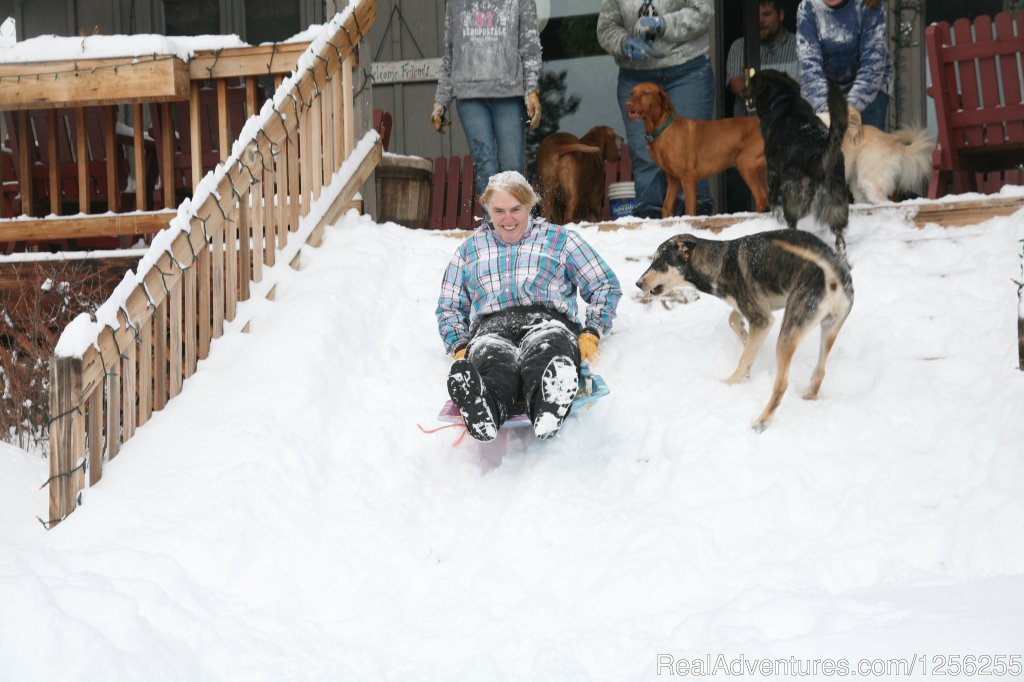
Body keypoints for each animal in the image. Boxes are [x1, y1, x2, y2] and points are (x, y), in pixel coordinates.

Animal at [622, 80, 770, 216]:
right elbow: (666, 206)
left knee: (761, 198)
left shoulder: (688, 177)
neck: (662, 128)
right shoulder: (673, 179)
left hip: (745, 162)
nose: (627, 104)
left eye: (646, 93)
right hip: (761, 170)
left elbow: (689, 209)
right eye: (631, 93)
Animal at [634, 228, 851, 430]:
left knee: (782, 384)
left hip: (787, 334)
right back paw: (809, 396)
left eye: (659, 261)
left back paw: (761, 421)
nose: (637, 283)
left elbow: (743, 359)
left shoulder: (762, 319)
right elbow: (734, 322)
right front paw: (747, 342)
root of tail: (833, 272)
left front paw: (730, 383)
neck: (720, 262)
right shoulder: (758, 311)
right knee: (820, 371)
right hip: (828, 330)